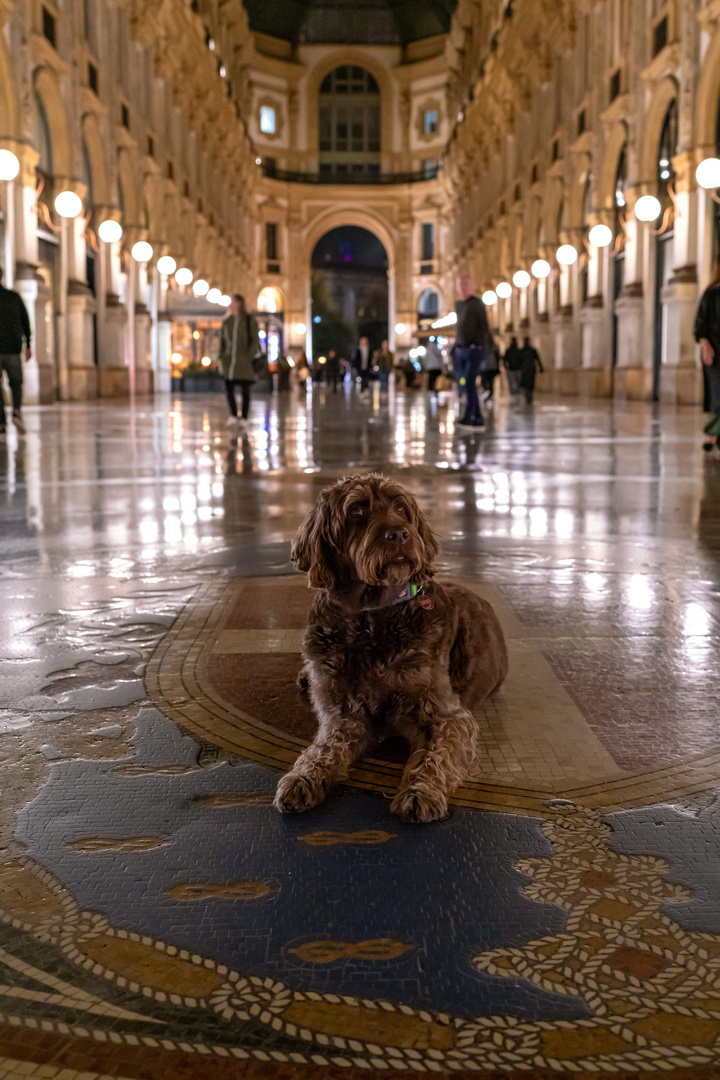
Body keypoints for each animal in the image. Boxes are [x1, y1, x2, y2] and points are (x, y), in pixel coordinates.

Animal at [273, 473, 509, 816]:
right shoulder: (344, 714)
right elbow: (325, 748)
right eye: (357, 511)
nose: (399, 534)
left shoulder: (443, 715)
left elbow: (436, 755)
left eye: (400, 508)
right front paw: (305, 775)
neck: (371, 617)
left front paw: (421, 791)